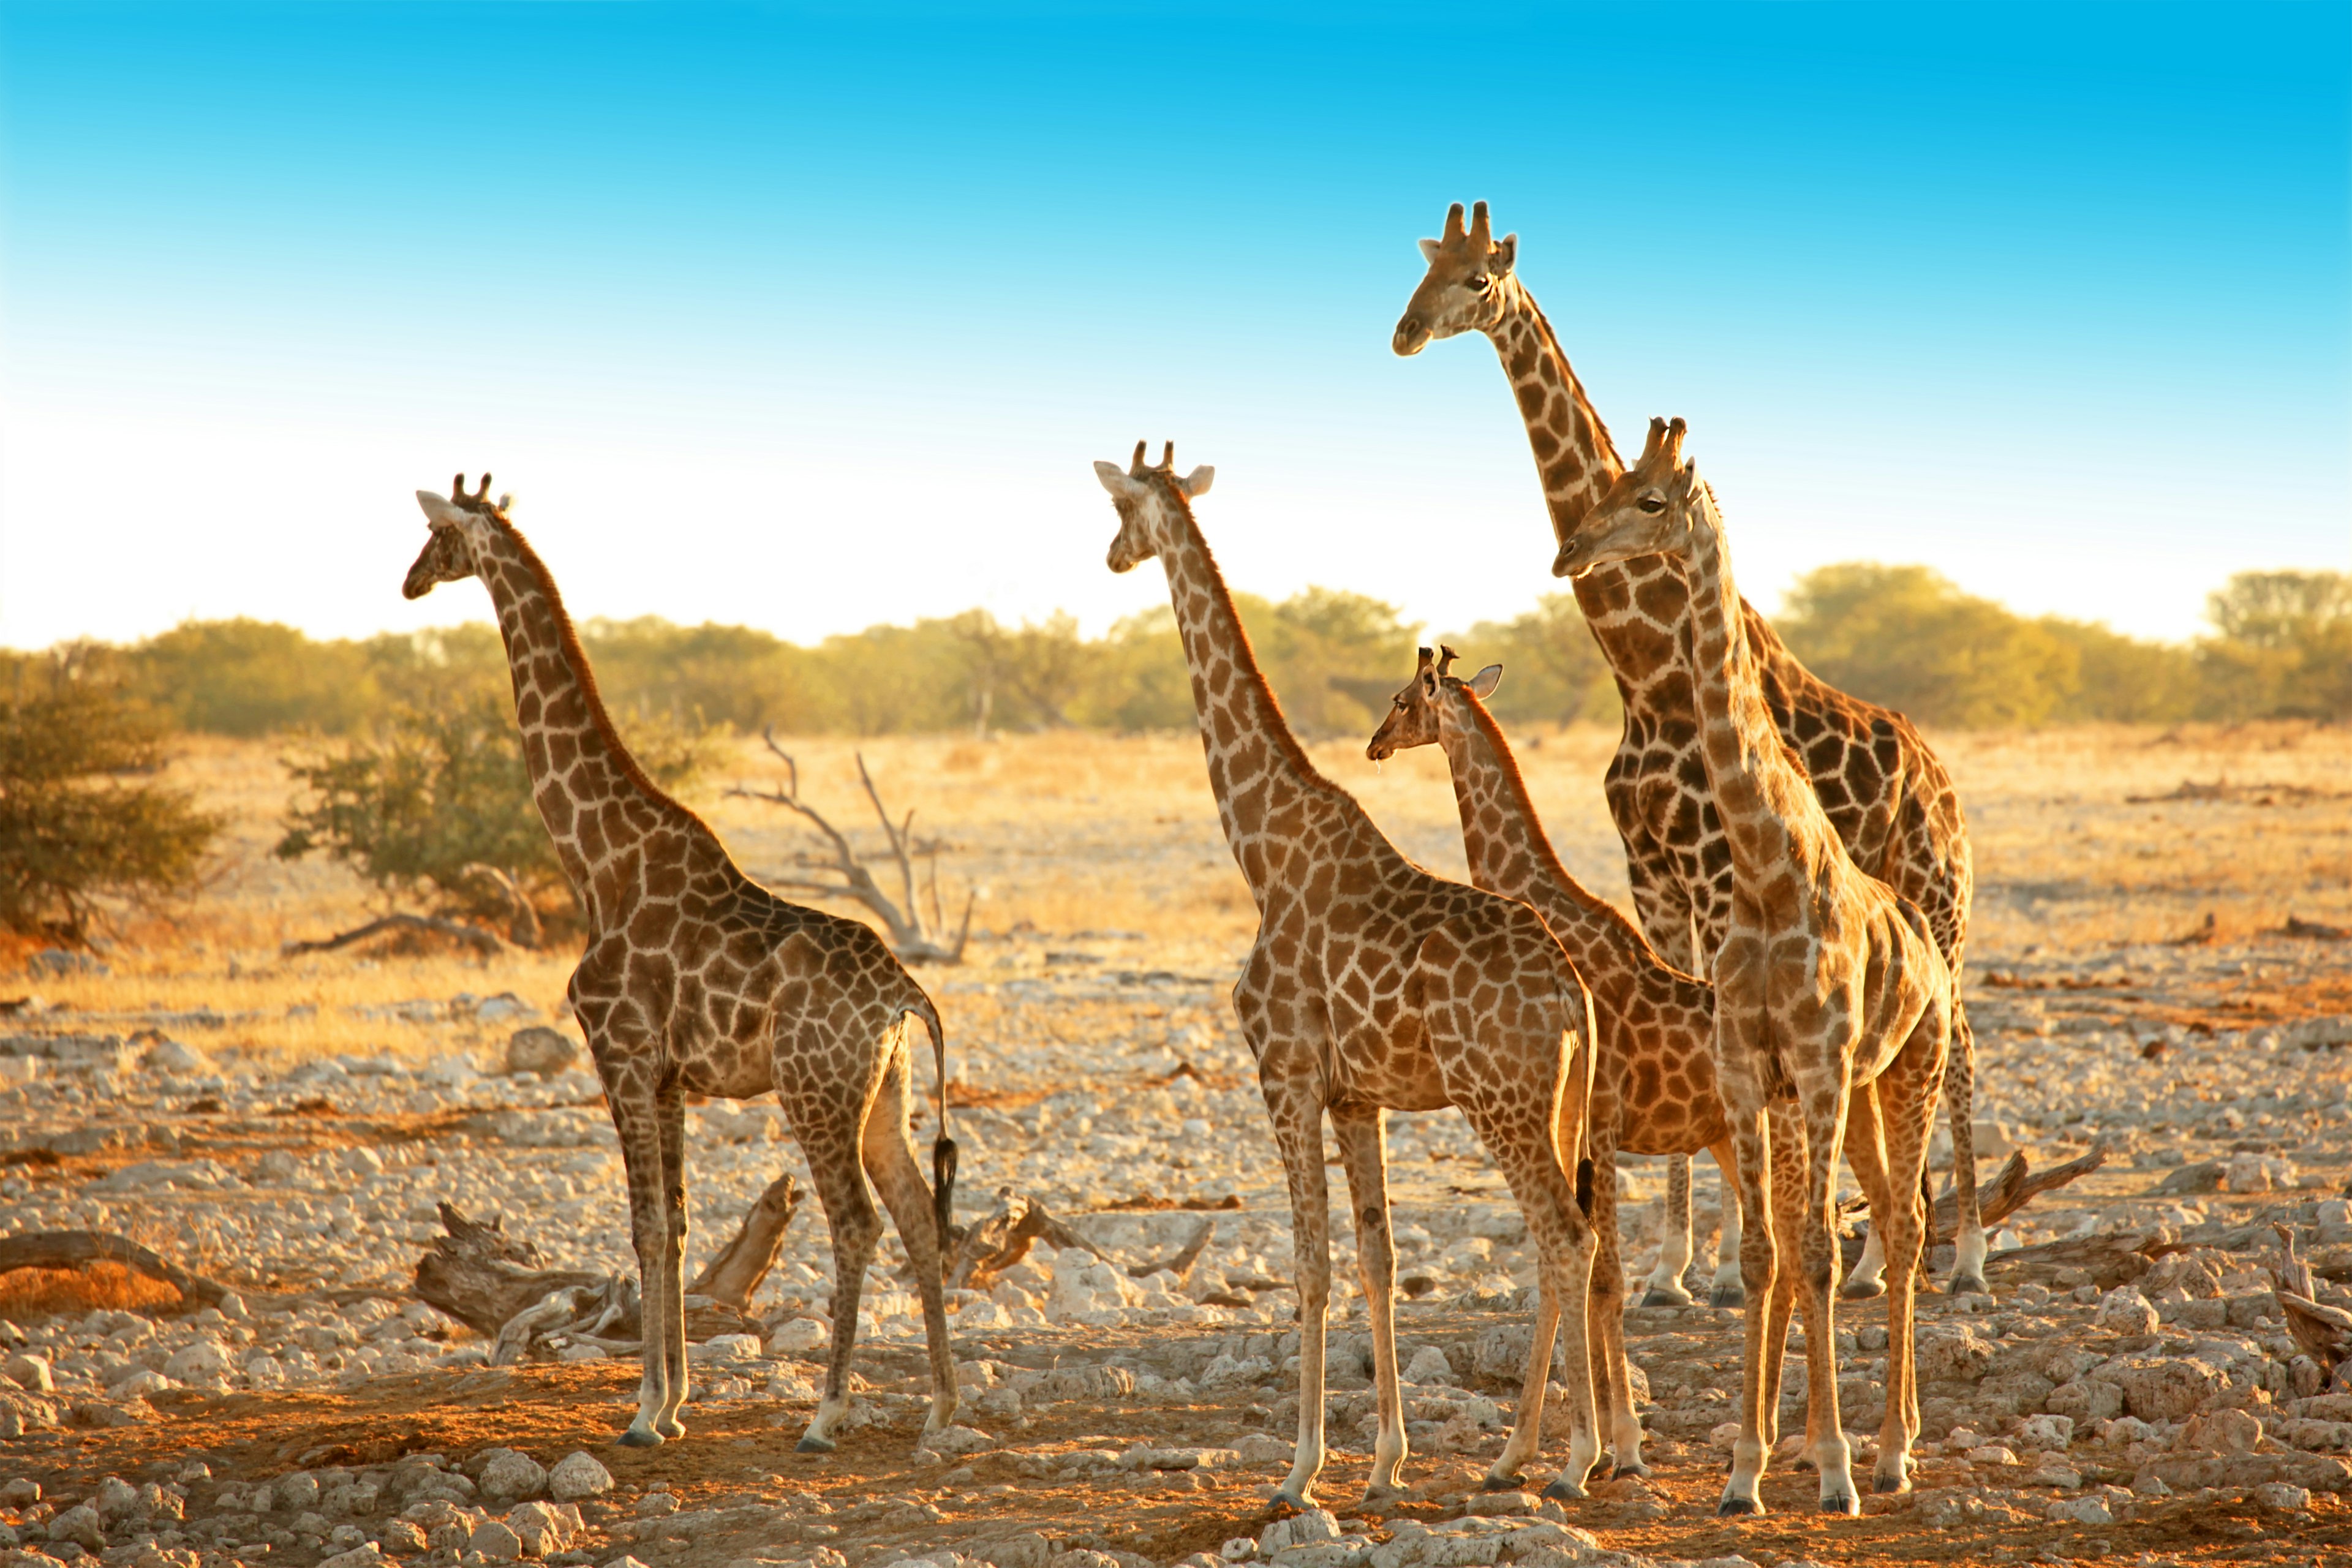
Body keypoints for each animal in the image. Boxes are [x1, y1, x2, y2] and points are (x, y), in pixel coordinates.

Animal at [402, 472, 955, 1457]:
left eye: (435, 535)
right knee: (918, 1215)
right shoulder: (668, 1077)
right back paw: (940, 1405)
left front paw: (643, 1413)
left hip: (813, 1090)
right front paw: (674, 1402)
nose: (408, 583)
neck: (598, 863)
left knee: (856, 1222)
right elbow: (682, 1223)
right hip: (882, 1095)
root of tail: (905, 994)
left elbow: (647, 1224)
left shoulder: (619, 1054)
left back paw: (826, 1415)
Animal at [1096, 442, 1608, 1504]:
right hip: (1558, 1103)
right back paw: (1535, 1452)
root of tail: (1573, 995)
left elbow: (1311, 1266)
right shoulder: (1355, 1095)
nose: (1112, 557)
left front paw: (1298, 1471)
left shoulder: (1283, 1074)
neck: (1260, 847)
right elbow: (1376, 1257)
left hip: (1498, 1101)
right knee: (1564, 1236)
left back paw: (1575, 1458)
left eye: (1120, 509)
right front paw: (1384, 1464)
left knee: (1565, 1235)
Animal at [1364, 644, 1749, 1476]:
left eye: (1404, 698)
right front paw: (1565, 1447)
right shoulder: (1584, 1128)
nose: (1373, 745)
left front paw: (1616, 1445)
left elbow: (1600, 1276)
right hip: (1735, 1141)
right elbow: (1566, 1270)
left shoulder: (1598, 1119)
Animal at [1392, 196, 1985, 1297]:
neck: (1644, 669)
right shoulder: (1654, 879)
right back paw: (1877, 1253)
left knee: (1960, 1042)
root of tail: (1938, 776)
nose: (1405, 332)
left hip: (1939, 894)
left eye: (1478, 280)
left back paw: (1964, 1253)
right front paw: (1678, 1266)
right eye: (1421, 267)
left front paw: (1716, 1266)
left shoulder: (1712, 875)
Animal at [1561, 423, 1947, 1513]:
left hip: (1909, 1070)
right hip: (1852, 1093)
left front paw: (1835, 1469)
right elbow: (1766, 1251)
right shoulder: (1748, 1068)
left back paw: (1893, 1452)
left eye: (1652, 500)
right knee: (1876, 1217)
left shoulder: (1814, 1065)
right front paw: (1744, 1469)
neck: (1769, 866)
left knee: (1907, 1225)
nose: (1569, 552)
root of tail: (1929, 948)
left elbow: (1816, 1251)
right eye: (1614, 482)